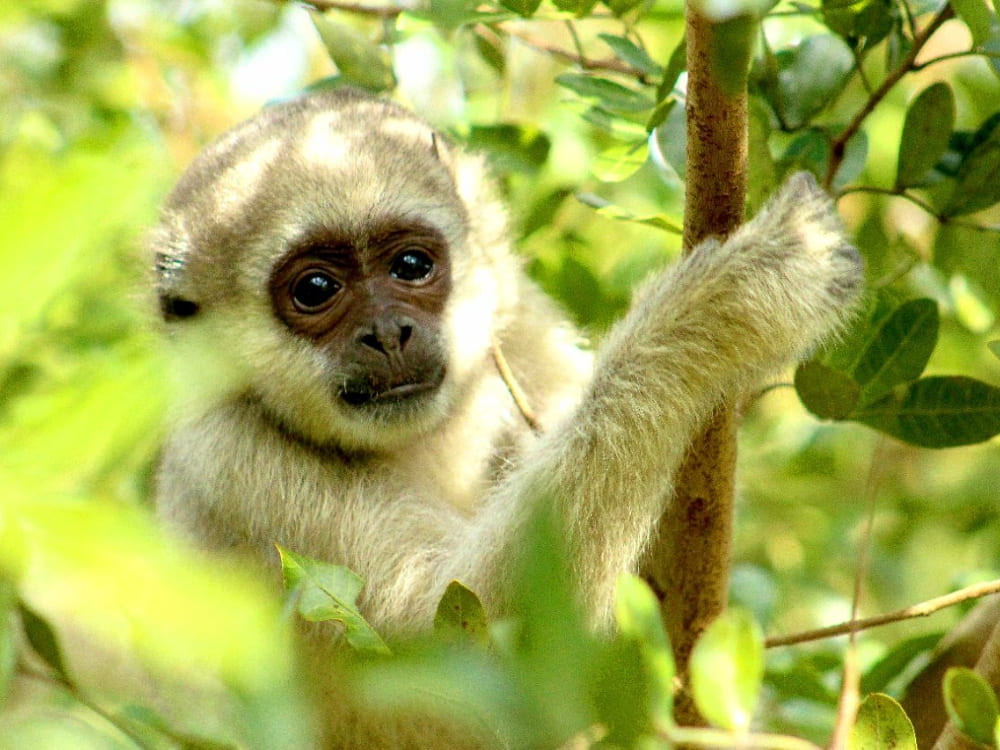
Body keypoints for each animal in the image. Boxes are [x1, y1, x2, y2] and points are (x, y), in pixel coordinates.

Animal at [151, 87, 863, 746]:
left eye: (411, 265)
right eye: (316, 289)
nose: (386, 333)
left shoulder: (520, 322)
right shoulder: (232, 462)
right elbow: (475, 650)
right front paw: (731, 304)